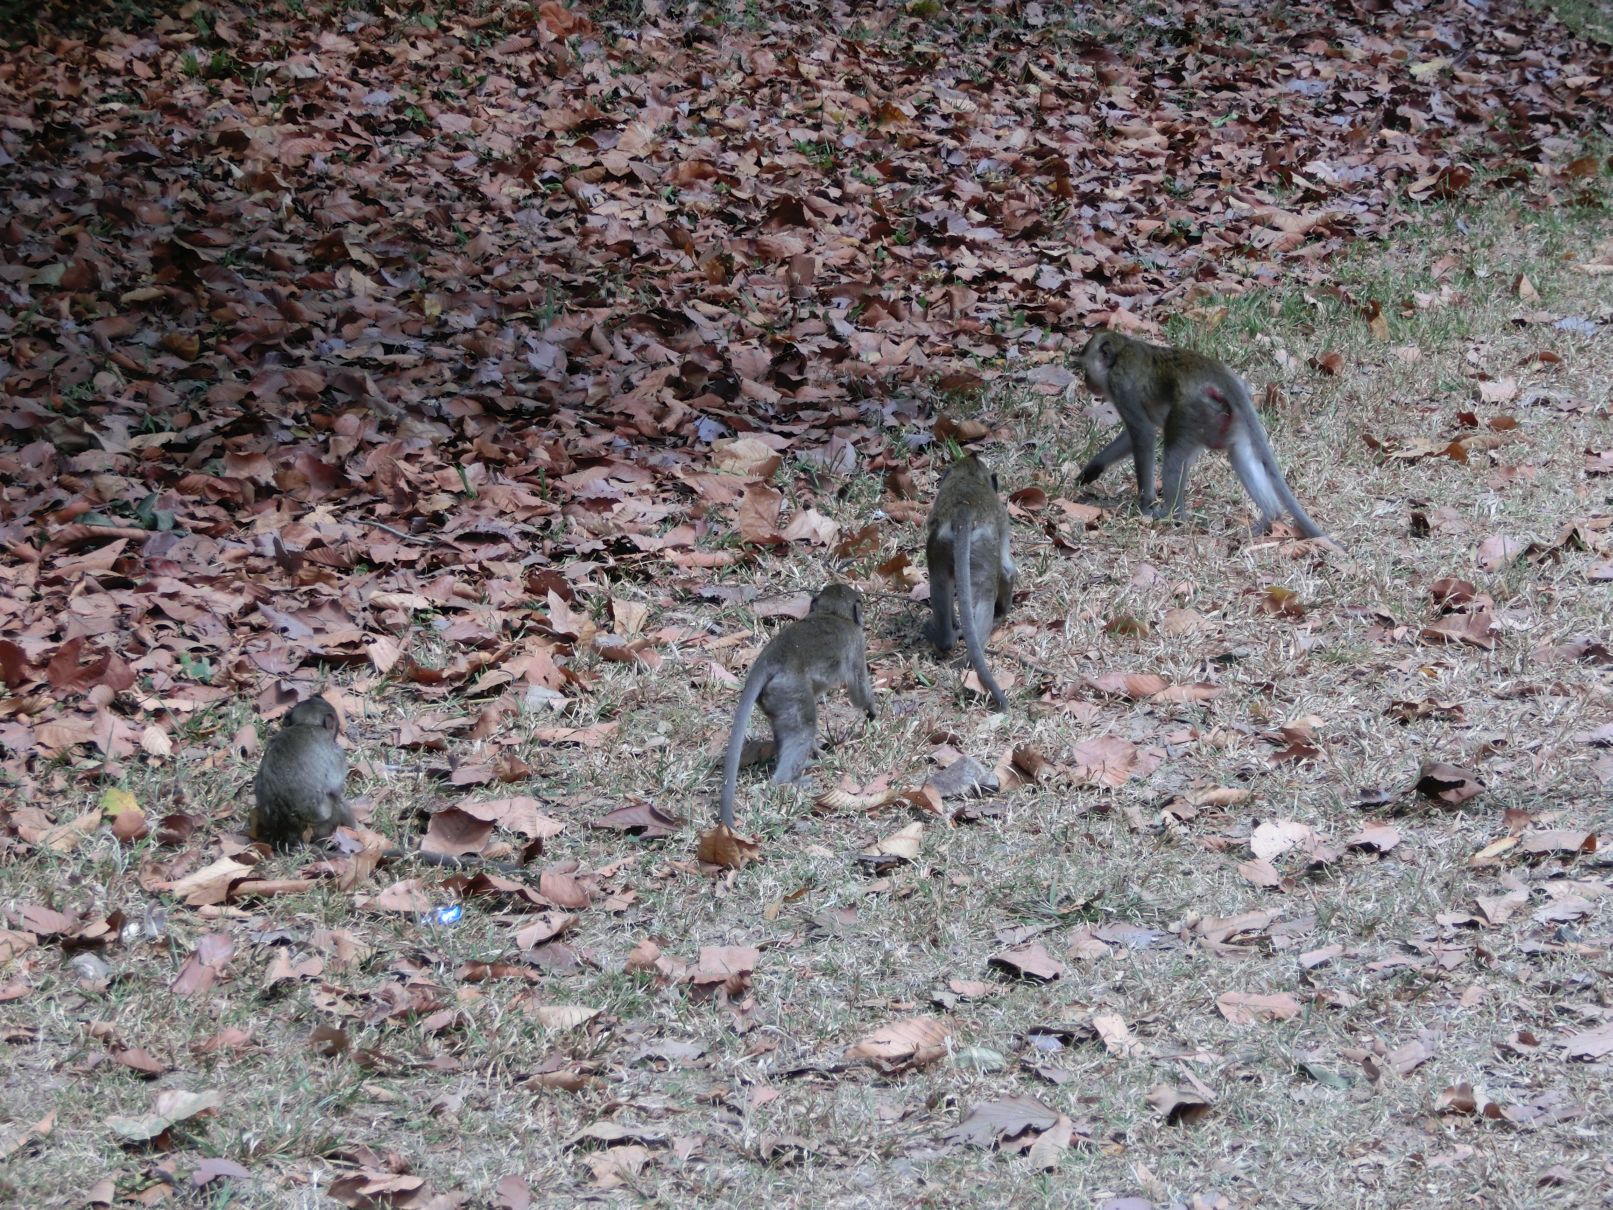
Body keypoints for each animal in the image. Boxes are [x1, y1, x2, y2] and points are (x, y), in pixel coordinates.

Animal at [248, 700, 522, 871]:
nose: (341, 730)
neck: (306, 725)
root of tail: (291, 833)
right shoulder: (335, 753)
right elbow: (334, 785)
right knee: (336, 801)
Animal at [716, 580, 877, 832]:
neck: (832, 614)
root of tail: (770, 659)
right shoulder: (857, 642)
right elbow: (858, 687)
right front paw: (871, 711)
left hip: (775, 698)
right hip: (790, 690)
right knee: (804, 727)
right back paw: (787, 781)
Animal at [929, 458, 1012, 716]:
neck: (969, 476)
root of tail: (962, 511)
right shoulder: (1003, 517)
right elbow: (1007, 569)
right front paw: (1005, 610)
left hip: (938, 545)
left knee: (939, 585)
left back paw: (947, 639)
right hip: (983, 548)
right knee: (985, 596)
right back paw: (972, 656)